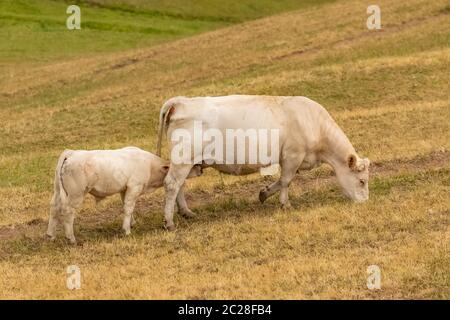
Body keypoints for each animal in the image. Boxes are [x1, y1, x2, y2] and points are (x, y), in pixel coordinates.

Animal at [47, 147, 200, 242]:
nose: (200, 169)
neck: (150, 166)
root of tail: (71, 153)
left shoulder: (124, 189)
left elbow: (126, 205)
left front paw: (132, 223)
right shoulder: (134, 187)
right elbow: (128, 208)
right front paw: (126, 230)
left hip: (57, 191)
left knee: (54, 209)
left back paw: (51, 236)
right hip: (75, 194)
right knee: (67, 212)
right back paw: (71, 238)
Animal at [156, 94, 370, 230]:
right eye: (362, 181)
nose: (365, 202)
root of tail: (180, 101)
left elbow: (280, 181)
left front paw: (264, 193)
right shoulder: (292, 155)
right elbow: (286, 181)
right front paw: (285, 204)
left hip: (186, 162)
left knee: (180, 185)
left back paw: (186, 212)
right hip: (184, 158)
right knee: (172, 184)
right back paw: (169, 222)